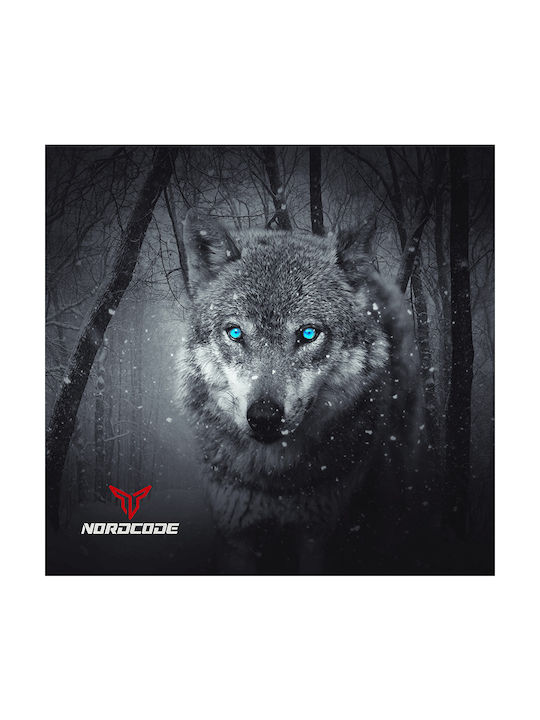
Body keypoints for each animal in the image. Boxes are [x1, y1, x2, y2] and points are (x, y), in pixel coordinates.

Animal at [176, 208, 420, 573]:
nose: (264, 416)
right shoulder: (236, 535)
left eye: (307, 334)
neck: (275, 481)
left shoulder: (317, 535)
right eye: (235, 332)